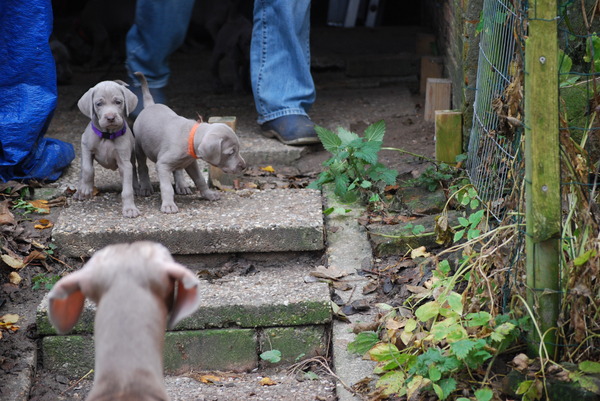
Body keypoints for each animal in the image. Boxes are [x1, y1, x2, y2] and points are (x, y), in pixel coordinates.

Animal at [74, 79, 140, 217]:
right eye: (99, 104)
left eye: (118, 102)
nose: (110, 117)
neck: (107, 135)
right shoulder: (86, 146)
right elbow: (87, 169)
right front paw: (86, 189)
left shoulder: (124, 163)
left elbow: (127, 189)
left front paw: (129, 208)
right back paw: (80, 192)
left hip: (131, 158)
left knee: (133, 174)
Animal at [133, 71, 246, 212]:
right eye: (231, 153)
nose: (244, 166)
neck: (190, 138)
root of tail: (151, 105)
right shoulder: (162, 165)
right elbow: (166, 187)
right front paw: (168, 205)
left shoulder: (191, 163)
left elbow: (200, 179)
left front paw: (208, 194)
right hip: (139, 147)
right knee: (142, 166)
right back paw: (146, 187)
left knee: (177, 170)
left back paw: (181, 185)